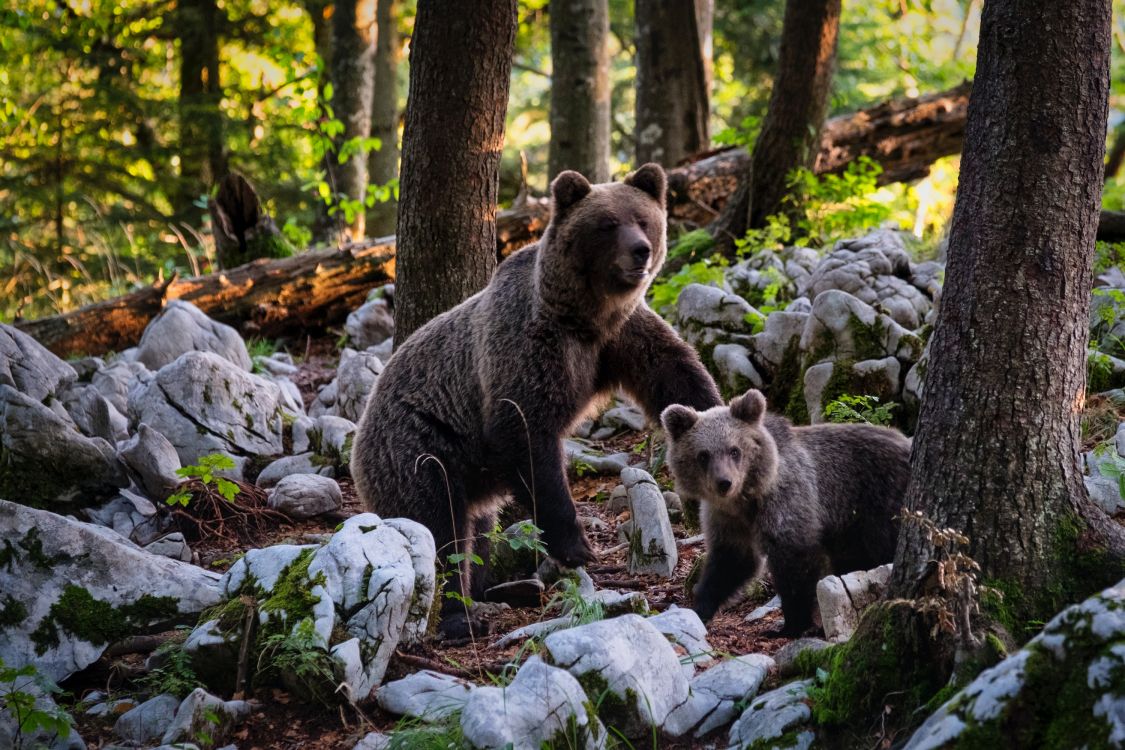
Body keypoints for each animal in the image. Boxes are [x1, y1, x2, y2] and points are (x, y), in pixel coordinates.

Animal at [352, 163, 723, 638]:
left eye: (643, 220)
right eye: (607, 224)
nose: (640, 251)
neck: (584, 317)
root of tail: (361, 429)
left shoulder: (621, 337)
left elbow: (675, 374)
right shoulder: (528, 348)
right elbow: (526, 434)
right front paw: (575, 546)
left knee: (478, 531)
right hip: (420, 448)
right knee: (440, 528)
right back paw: (460, 614)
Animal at [661, 388, 911, 635]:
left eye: (734, 450)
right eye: (703, 455)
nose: (724, 482)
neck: (745, 500)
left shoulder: (787, 501)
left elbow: (794, 560)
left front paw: (791, 625)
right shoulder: (727, 519)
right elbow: (730, 562)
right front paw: (699, 608)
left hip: (879, 503)